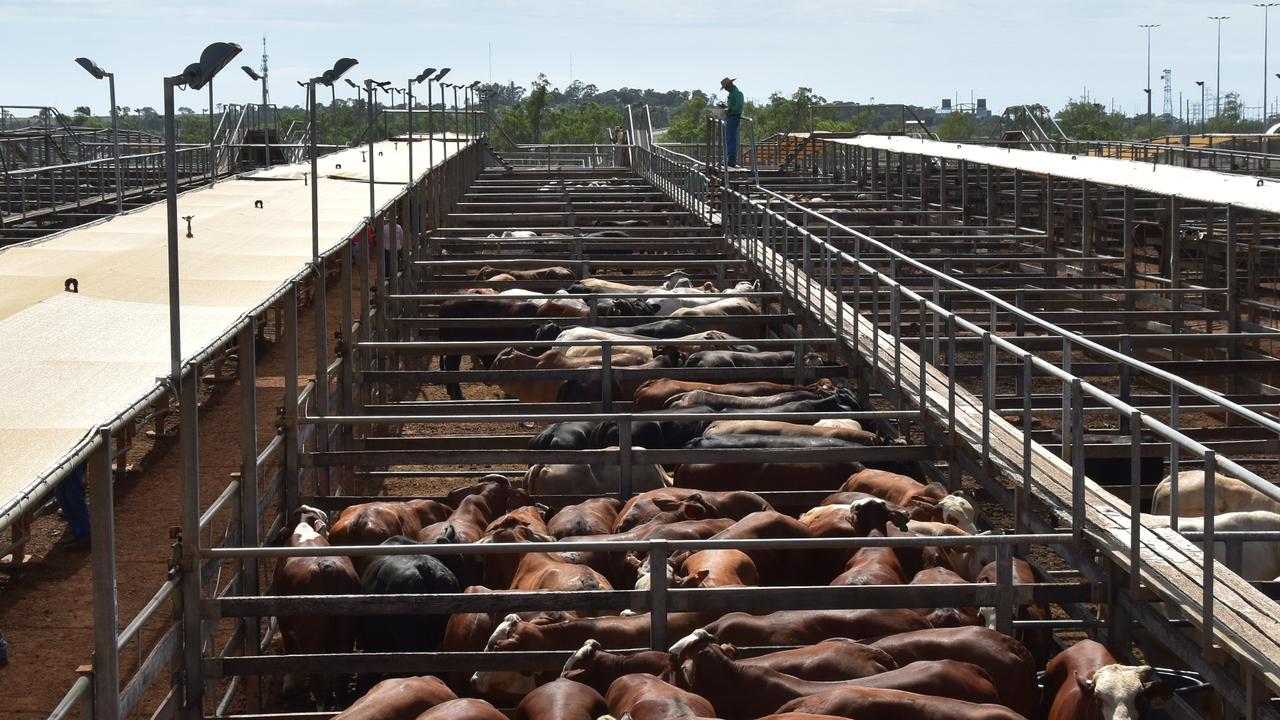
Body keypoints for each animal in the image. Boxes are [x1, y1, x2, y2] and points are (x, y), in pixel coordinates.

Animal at [270, 504, 360, 707]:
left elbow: (289, 647)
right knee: (340, 677)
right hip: (346, 631)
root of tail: (325, 567)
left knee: (317, 680)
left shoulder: (282, 619)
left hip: (311, 636)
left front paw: (288, 685)